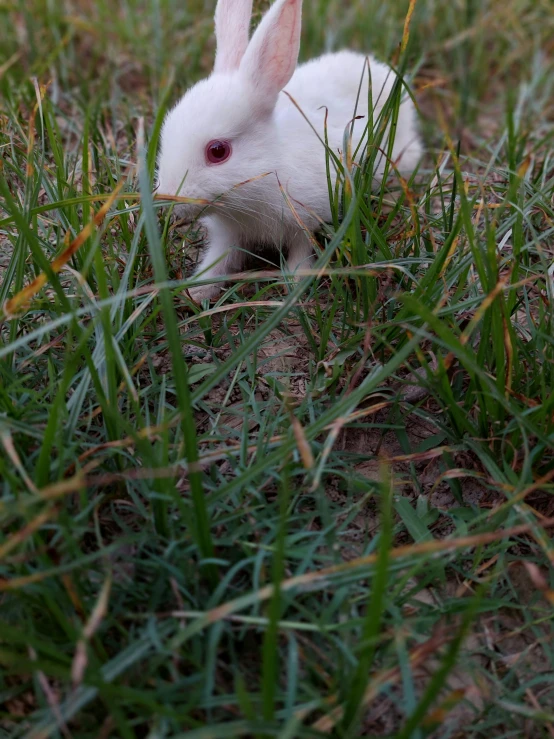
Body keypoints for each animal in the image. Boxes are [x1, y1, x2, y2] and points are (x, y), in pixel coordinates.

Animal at [157, 0, 420, 300]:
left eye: (218, 151)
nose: (169, 198)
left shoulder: (305, 220)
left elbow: (301, 251)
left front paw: (295, 284)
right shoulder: (229, 233)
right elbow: (220, 260)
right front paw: (198, 290)